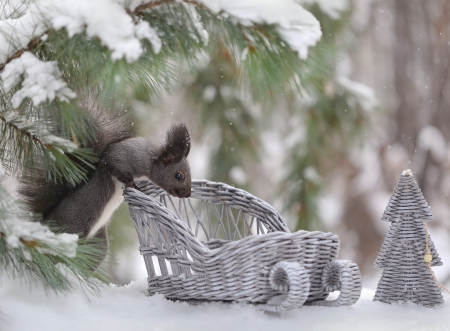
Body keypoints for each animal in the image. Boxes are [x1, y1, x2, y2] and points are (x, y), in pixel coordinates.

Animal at [18, 94, 191, 266]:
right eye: (179, 175)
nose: (187, 194)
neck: (150, 160)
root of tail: (44, 222)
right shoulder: (124, 157)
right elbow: (116, 168)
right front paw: (132, 184)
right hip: (73, 227)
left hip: (98, 244)